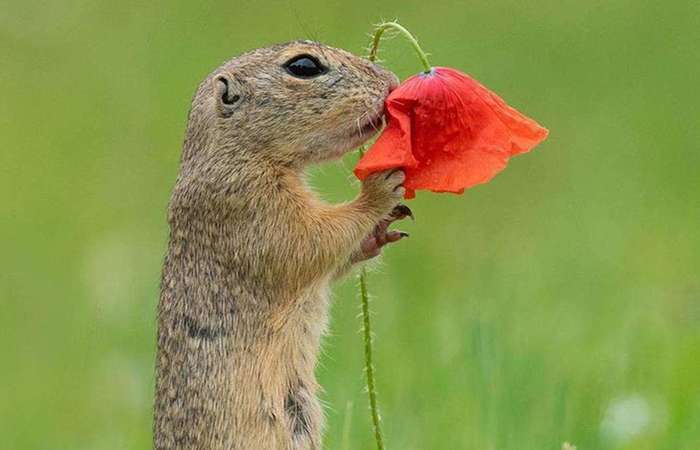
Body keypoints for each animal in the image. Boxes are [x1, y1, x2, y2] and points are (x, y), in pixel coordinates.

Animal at [154, 40, 410, 448]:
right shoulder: (250, 205)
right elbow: (313, 240)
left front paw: (381, 231)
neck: (237, 153)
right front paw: (380, 189)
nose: (391, 81)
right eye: (303, 66)